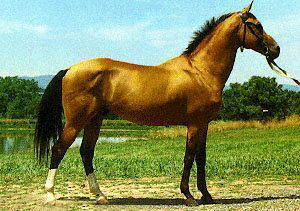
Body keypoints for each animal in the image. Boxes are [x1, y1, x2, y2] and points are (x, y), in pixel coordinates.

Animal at [34, 1, 280, 206]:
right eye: (256, 26)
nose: (276, 49)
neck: (200, 71)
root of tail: (69, 69)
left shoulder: (204, 125)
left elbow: (201, 158)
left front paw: (207, 195)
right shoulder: (195, 124)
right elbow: (189, 157)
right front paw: (189, 196)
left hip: (95, 119)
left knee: (86, 152)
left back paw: (100, 195)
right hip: (76, 121)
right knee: (59, 149)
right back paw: (51, 195)